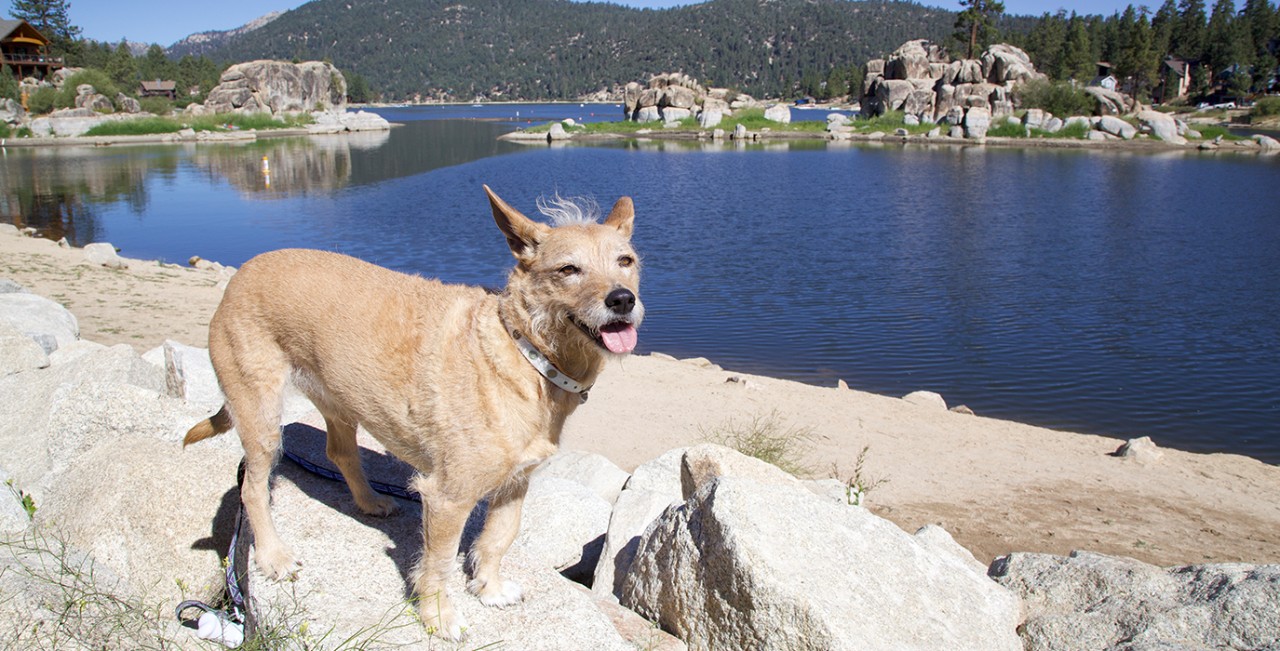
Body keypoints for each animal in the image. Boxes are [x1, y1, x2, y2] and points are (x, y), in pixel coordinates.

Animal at [183, 184, 640, 639]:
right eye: (568, 269)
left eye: (626, 261)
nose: (622, 299)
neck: (525, 354)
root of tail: (240, 273)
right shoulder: (447, 498)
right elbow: (439, 563)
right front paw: (439, 616)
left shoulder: (516, 483)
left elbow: (499, 537)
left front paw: (489, 589)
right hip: (260, 417)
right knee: (252, 489)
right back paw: (273, 555)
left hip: (339, 402)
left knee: (340, 453)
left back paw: (370, 501)